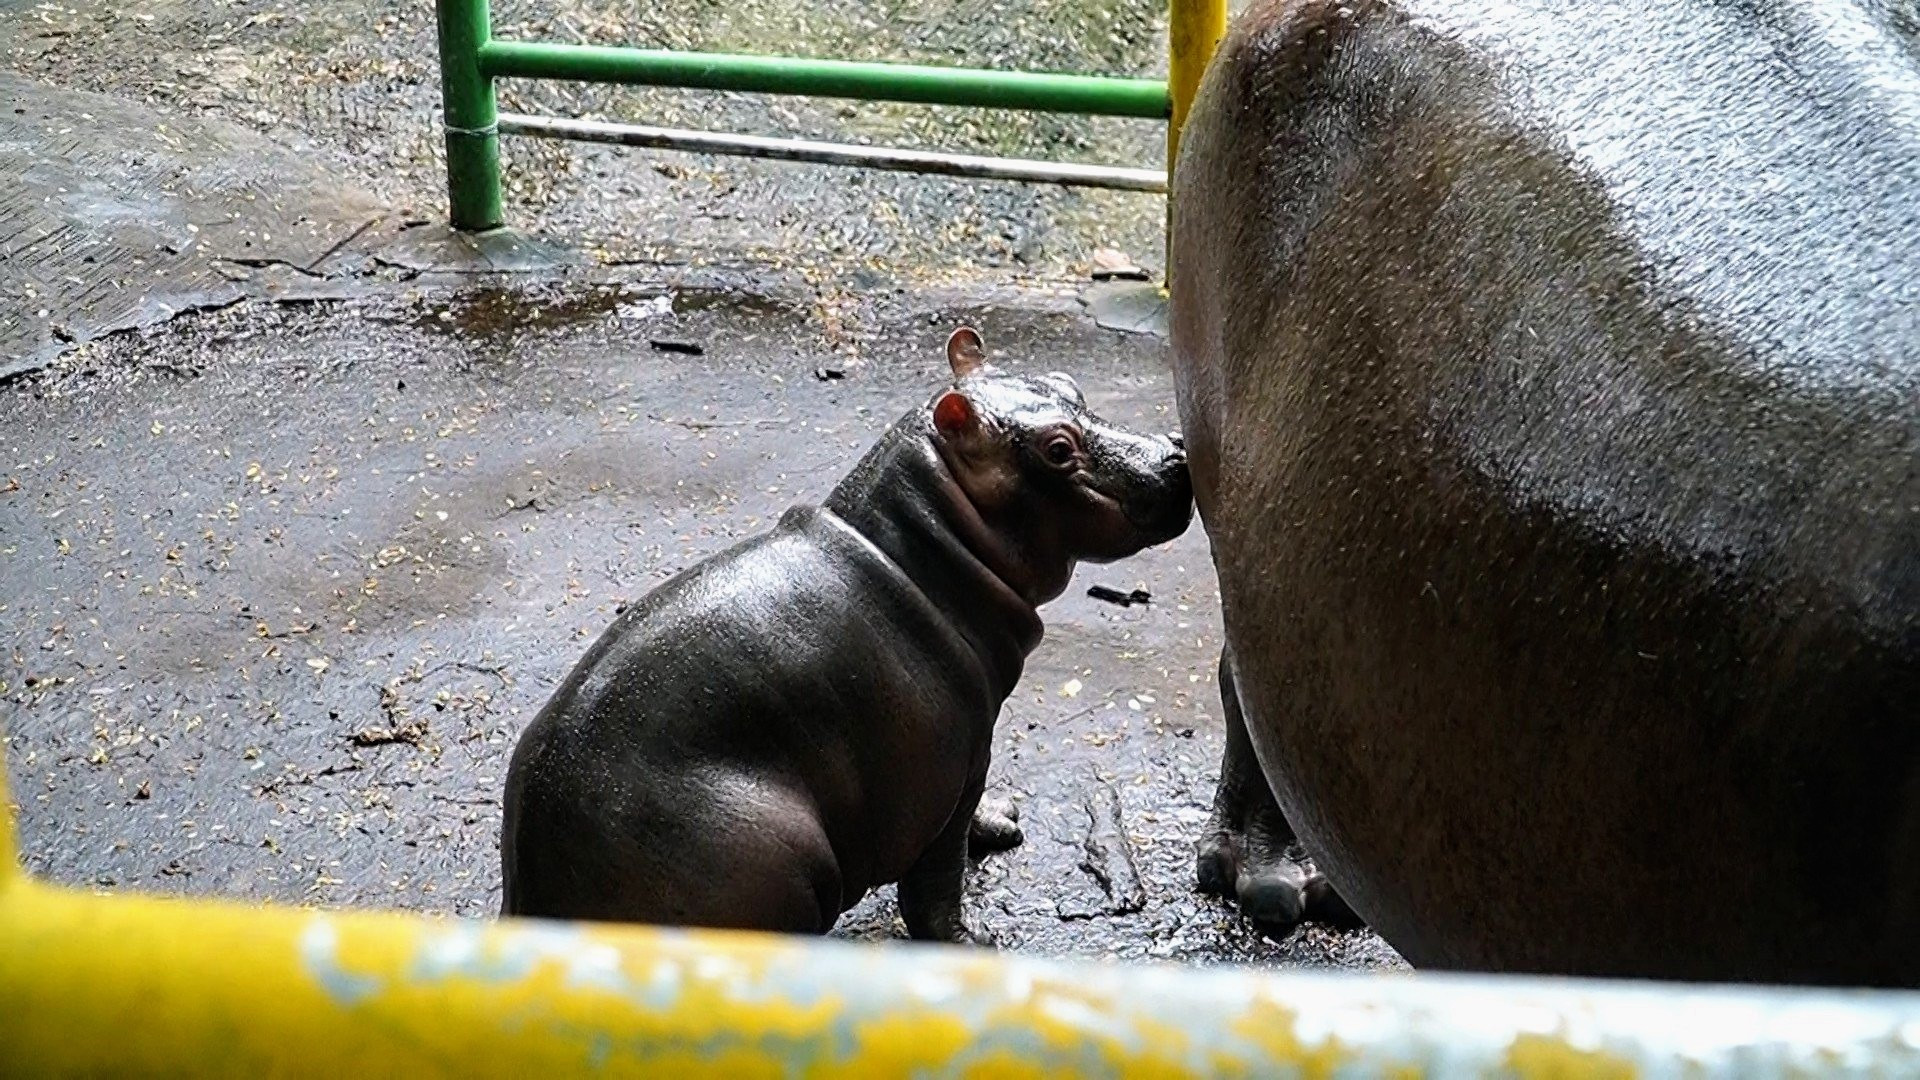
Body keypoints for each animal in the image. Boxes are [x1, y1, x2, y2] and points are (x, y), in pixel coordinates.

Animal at [503, 322, 1190, 937]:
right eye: (1058, 449)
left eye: (1069, 384)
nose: (1178, 454)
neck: (917, 548)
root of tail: (533, 903)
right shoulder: (946, 774)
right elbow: (935, 887)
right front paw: (976, 943)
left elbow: (971, 825)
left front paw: (1002, 821)